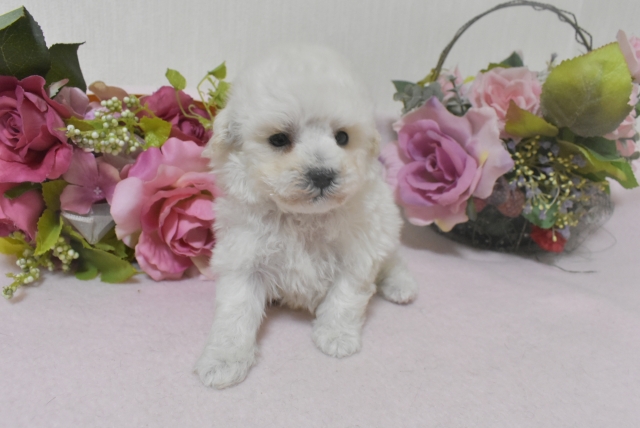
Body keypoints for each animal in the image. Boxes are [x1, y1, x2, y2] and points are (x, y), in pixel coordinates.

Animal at [195, 45, 417, 389]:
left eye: (342, 138)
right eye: (279, 139)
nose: (322, 175)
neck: (303, 217)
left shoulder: (358, 252)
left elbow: (346, 295)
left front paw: (337, 336)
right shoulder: (243, 256)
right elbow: (235, 311)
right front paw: (223, 360)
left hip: (386, 224)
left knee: (393, 258)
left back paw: (400, 285)